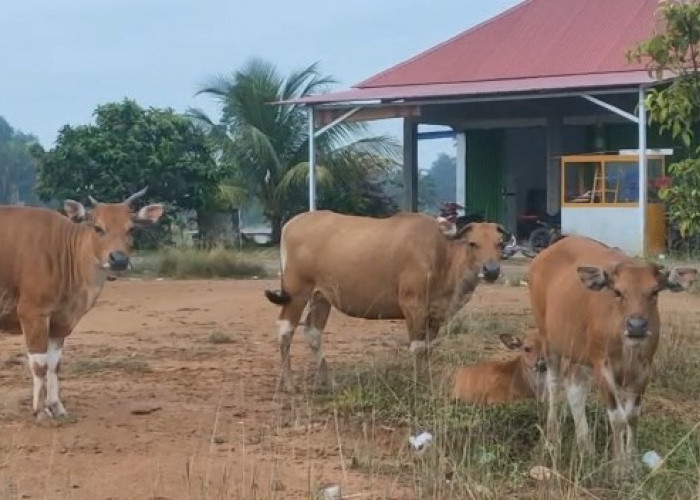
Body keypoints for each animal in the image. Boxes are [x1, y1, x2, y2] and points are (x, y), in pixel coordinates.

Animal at [0, 189, 164, 420]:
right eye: (98, 228)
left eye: (131, 229)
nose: (118, 259)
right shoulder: (32, 313)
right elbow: (39, 364)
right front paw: (40, 410)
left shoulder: (61, 320)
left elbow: (54, 364)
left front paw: (56, 406)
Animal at [528, 236, 696, 478]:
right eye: (617, 292)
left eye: (654, 292)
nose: (637, 326)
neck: (627, 347)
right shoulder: (602, 366)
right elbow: (617, 417)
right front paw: (618, 467)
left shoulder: (643, 369)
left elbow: (632, 415)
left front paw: (631, 464)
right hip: (548, 338)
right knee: (554, 385)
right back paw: (552, 437)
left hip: (580, 352)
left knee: (575, 388)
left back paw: (586, 447)